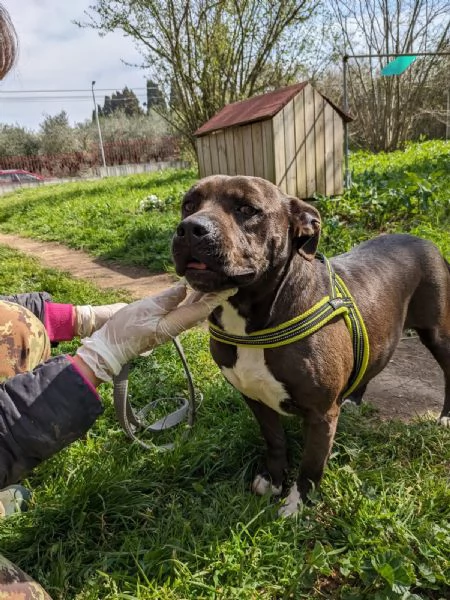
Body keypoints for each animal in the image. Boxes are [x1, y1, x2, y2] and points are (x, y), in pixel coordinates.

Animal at [171, 173, 450, 516]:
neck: (252, 320)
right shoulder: (255, 397)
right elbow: (275, 440)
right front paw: (274, 479)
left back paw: (445, 417)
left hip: (438, 333)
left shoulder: (320, 415)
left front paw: (296, 504)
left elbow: (311, 465)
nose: (189, 228)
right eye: (188, 204)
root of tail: (426, 241)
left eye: (246, 209)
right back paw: (354, 400)